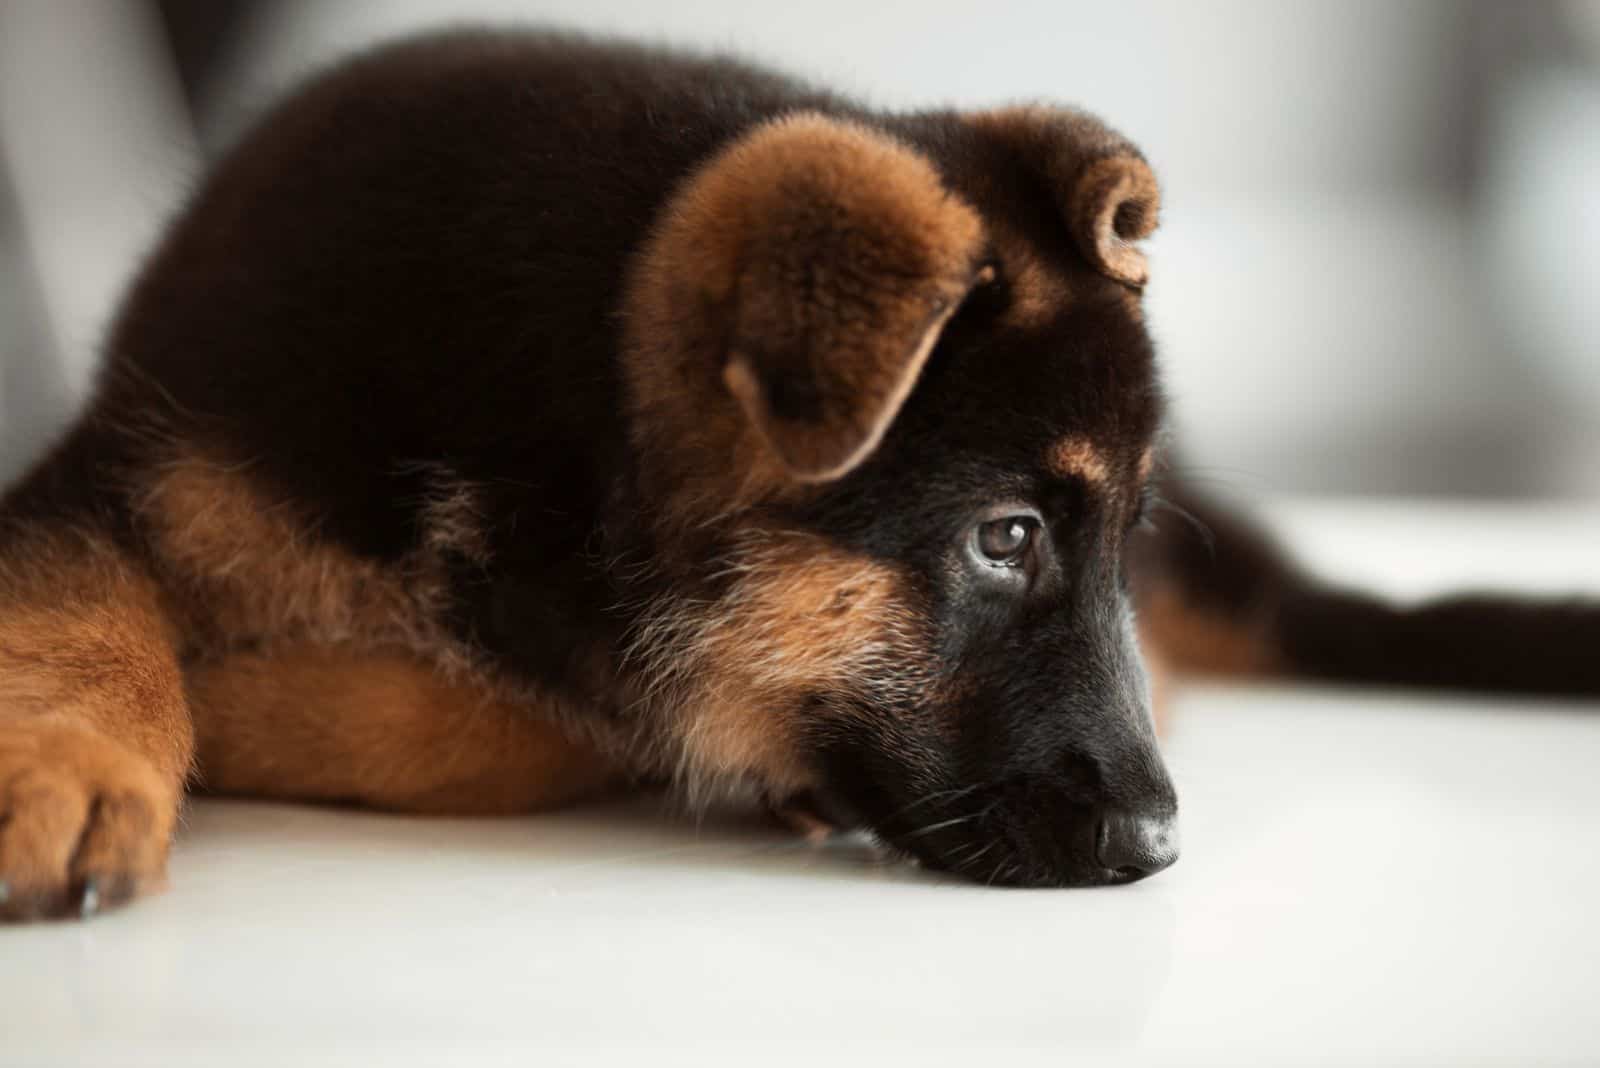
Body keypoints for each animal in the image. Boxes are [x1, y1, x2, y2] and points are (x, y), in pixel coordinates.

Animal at [0, 33, 1593, 920]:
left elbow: (492, 720)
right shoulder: (126, 468)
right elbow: (82, 607)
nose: (1156, 850)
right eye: (1004, 538)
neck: (544, 401)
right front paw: (83, 757)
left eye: (1110, 547)